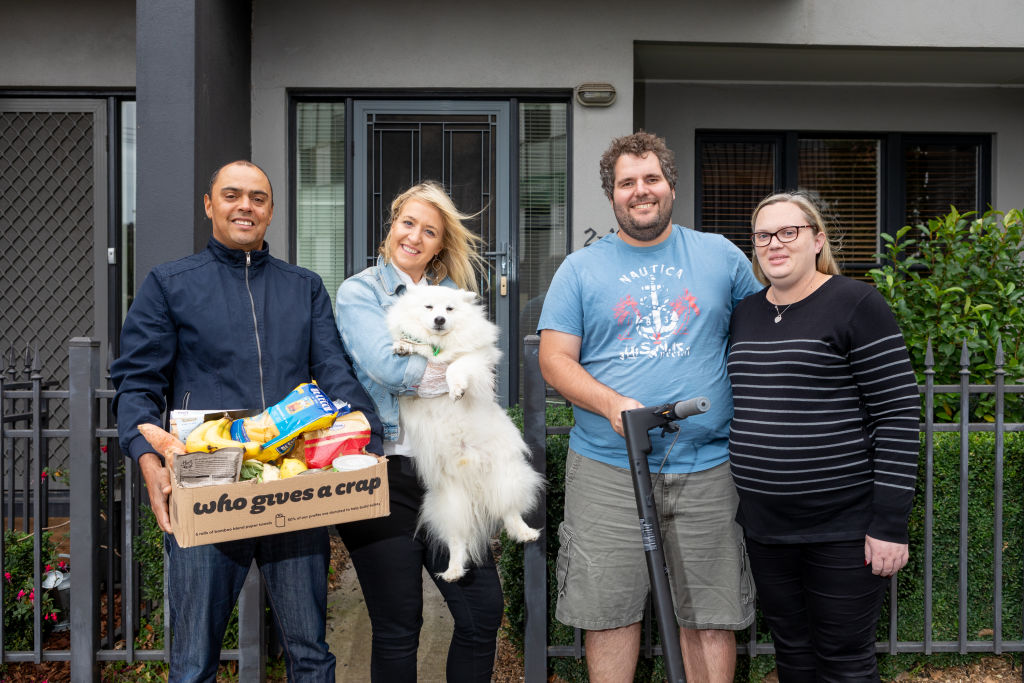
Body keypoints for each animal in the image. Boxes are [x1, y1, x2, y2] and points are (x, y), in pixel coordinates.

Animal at [385, 286, 544, 581]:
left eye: (449, 309)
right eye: (429, 307)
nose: (439, 320)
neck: (441, 341)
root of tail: (472, 478)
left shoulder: (473, 359)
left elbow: (453, 367)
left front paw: (457, 388)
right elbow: (421, 348)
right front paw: (404, 345)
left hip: (504, 474)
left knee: (509, 511)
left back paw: (524, 532)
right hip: (451, 505)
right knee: (458, 541)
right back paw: (453, 571)